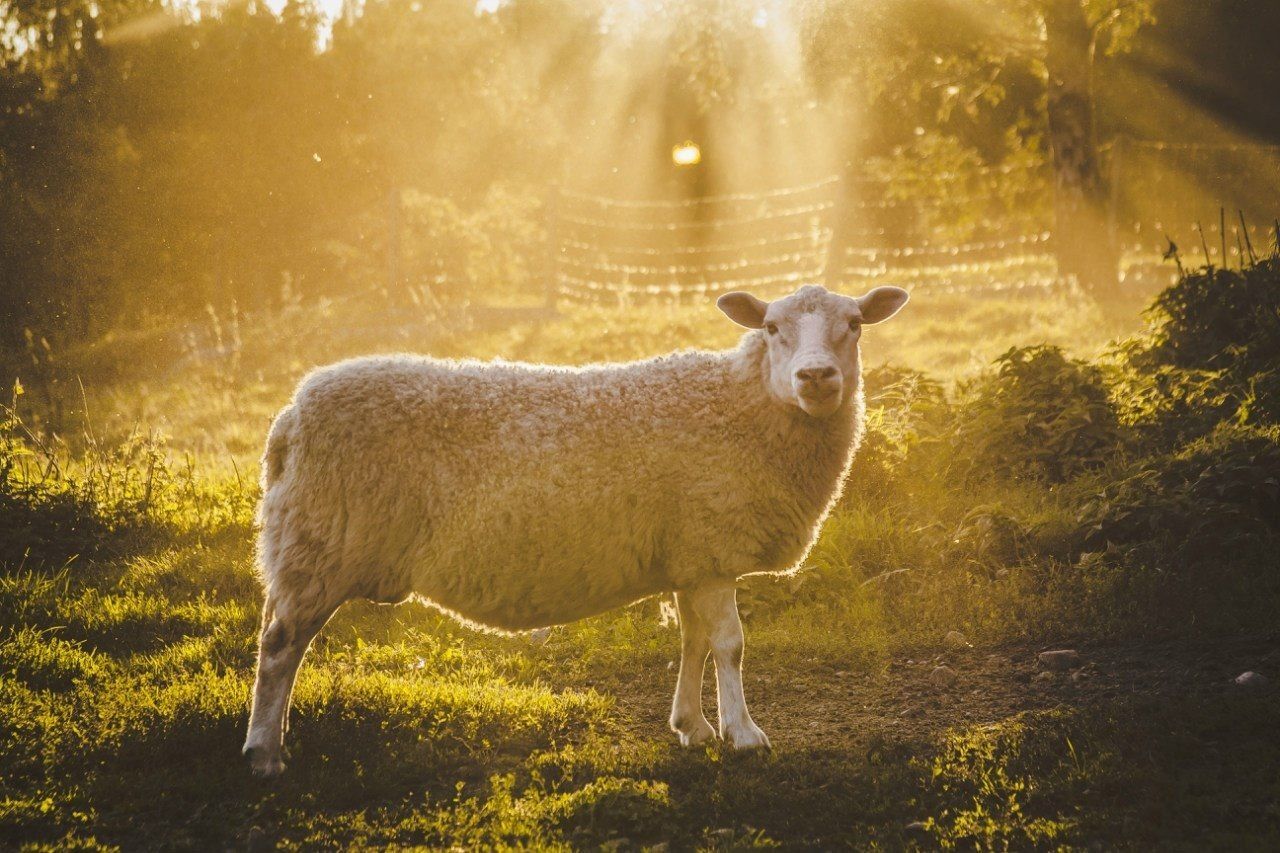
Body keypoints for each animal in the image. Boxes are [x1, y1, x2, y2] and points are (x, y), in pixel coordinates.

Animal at [242, 282, 909, 777]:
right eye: (771, 328)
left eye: (855, 323)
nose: (816, 377)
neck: (742, 408)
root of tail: (289, 418)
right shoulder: (713, 547)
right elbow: (730, 645)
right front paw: (744, 734)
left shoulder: (689, 554)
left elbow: (692, 641)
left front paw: (691, 726)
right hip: (319, 541)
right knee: (279, 646)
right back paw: (264, 754)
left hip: (306, 544)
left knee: (281, 639)